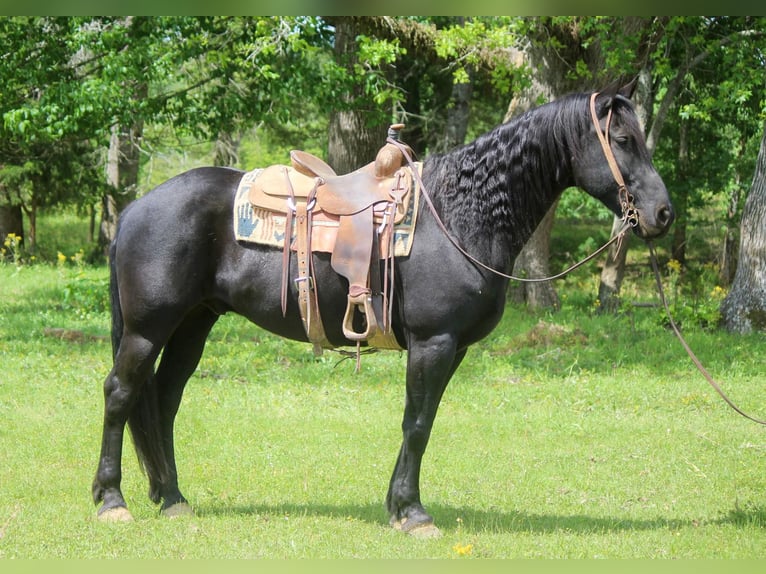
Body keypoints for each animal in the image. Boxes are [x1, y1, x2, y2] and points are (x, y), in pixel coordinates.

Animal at [93, 84, 676, 536]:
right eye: (623, 140)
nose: (662, 214)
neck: (461, 215)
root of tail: (137, 207)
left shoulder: (451, 349)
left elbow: (422, 421)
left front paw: (398, 507)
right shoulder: (434, 342)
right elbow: (416, 423)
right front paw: (413, 514)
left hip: (194, 323)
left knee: (164, 400)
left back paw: (173, 499)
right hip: (147, 329)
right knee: (121, 394)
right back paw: (111, 501)